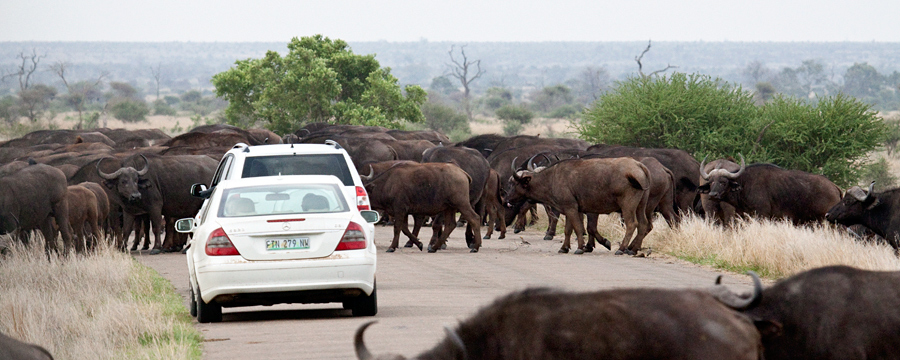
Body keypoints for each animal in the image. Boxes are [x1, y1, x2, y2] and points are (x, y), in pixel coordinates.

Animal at [696, 155, 844, 225]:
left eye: (723, 182)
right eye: (711, 182)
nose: (713, 195)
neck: (745, 184)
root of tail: (834, 186)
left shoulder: (762, 215)